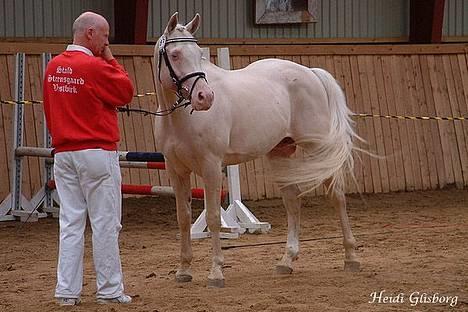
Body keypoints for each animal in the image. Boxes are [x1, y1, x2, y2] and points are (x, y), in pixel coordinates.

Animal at [155, 12, 360, 288]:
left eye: (199, 53)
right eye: (175, 54)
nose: (205, 97)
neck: (181, 119)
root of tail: (310, 72)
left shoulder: (211, 167)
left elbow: (212, 218)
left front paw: (216, 272)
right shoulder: (176, 170)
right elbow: (183, 218)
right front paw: (183, 270)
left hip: (318, 149)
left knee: (336, 195)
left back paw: (351, 257)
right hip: (281, 153)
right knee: (292, 201)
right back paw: (286, 261)